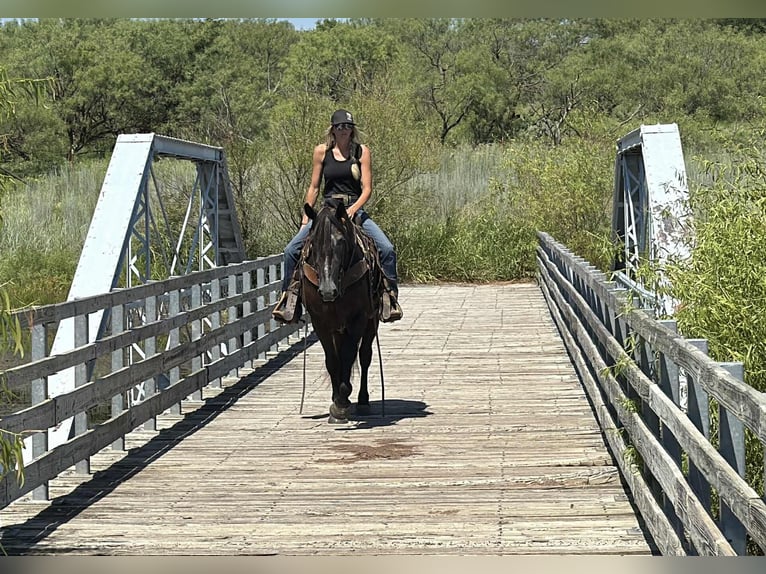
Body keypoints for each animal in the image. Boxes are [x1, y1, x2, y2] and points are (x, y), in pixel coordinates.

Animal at [300, 199, 384, 423]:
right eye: (313, 243)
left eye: (341, 242)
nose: (328, 290)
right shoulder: (320, 322)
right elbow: (333, 360)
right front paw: (336, 400)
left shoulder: (358, 319)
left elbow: (348, 355)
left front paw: (342, 402)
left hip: (371, 322)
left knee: (364, 356)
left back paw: (362, 400)